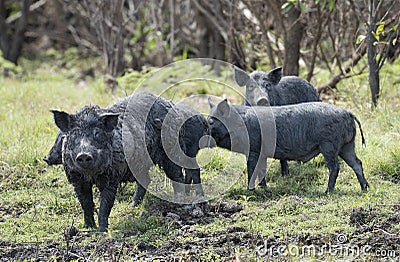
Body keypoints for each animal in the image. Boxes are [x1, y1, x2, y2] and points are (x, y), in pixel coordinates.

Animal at [47, 91, 208, 231]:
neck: (91, 175)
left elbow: (105, 205)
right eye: (74, 134)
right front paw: (87, 228)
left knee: (178, 176)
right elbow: (85, 204)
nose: (84, 154)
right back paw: (133, 206)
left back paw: (180, 202)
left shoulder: (113, 176)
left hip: (171, 152)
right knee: (146, 180)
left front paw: (102, 231)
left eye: (97, 133)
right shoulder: (76, 179)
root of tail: (171, 105)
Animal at [208, 98, 370, 192]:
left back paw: (327, 191)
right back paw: (365, 188)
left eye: (211, 121)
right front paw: (264, 188)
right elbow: (261, 170)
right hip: (347, 145)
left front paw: (250, 190)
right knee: (357, 163)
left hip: (329, 145)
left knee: (335, 167)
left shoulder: (254, 150)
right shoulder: (262, 154)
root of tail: (348, 113)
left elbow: (252, 169)